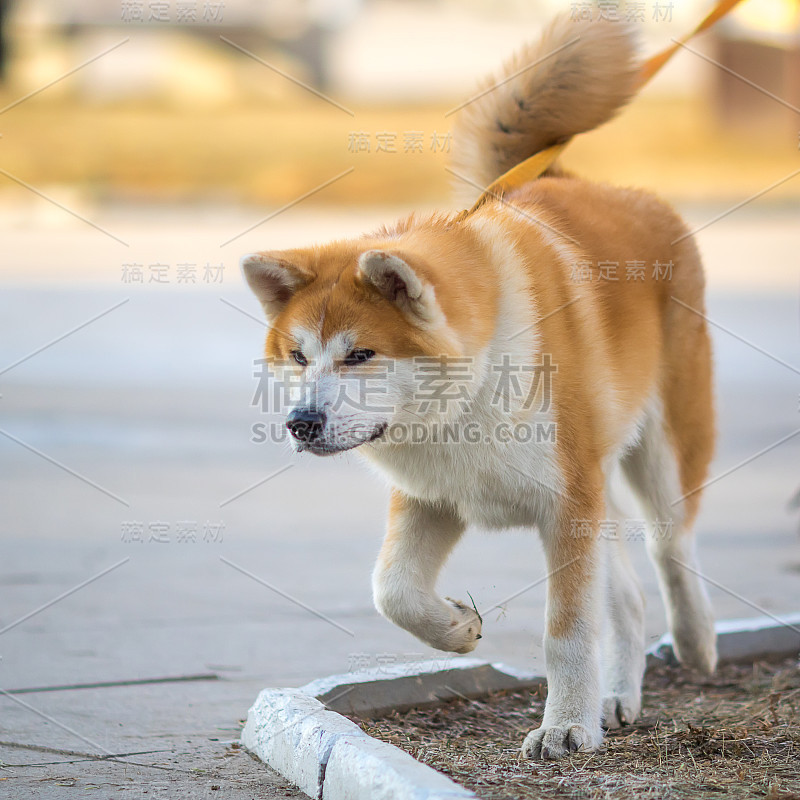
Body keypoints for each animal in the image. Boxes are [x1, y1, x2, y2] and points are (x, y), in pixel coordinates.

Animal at [242, 15, 720, 760]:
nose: (301, 423)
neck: (467, 399)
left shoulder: (566, 506)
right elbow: (392, 592)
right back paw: (618, 695)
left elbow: (566, 633)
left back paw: (696, 643)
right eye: (298, 356)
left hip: (663, 445)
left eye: (361, 355)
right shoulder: (433, 496)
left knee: (672, 546)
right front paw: (458, 628)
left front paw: (565, 728)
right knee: (630, 596)